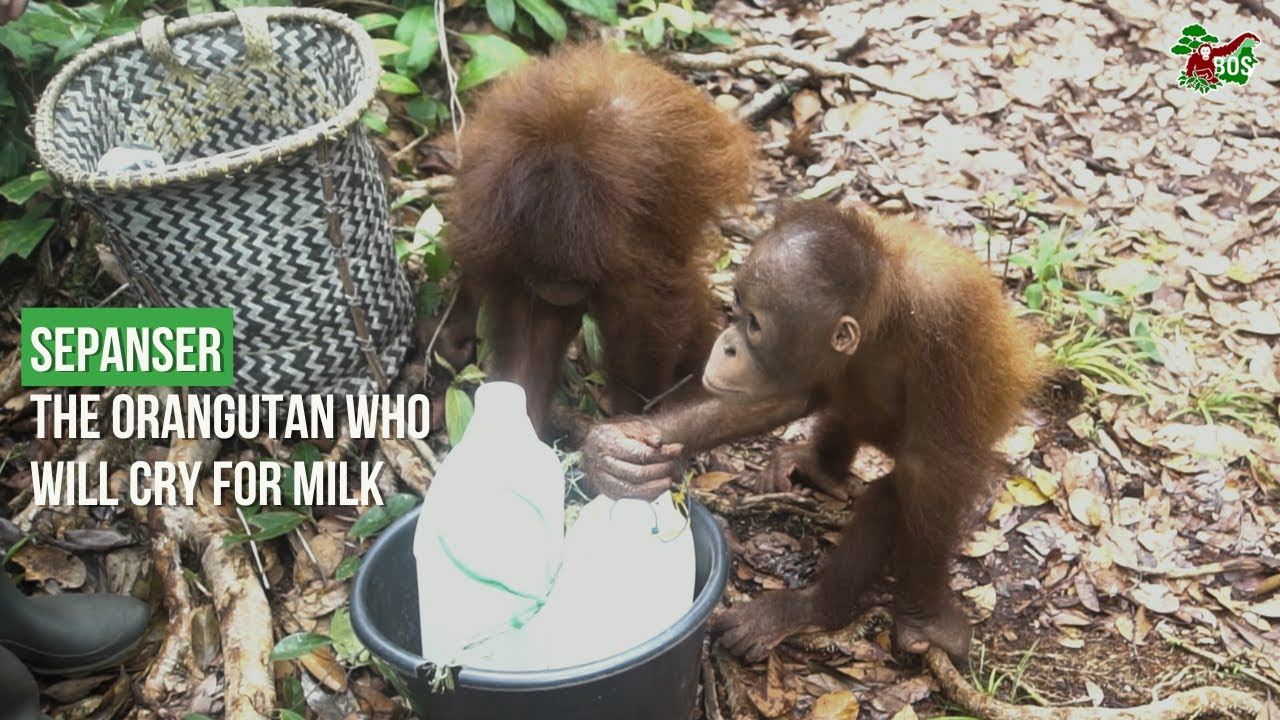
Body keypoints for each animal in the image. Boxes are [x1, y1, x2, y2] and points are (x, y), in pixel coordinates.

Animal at [445, 45, 754, 438]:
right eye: (542, 275)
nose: (560, 291)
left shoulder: (630, 257)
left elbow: (648, 326)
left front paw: (633, 419)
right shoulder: (494, 244)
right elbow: (527, 325)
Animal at [581, 201, 1043, 662]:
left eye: (754, 324)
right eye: (736, 304)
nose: (727, 344)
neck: (886, 306)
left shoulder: (945, 328)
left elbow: (928, 468)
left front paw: (925, 621)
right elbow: (787, 394)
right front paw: (617, 453)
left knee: (893, 494)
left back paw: (809, 609)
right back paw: (818, 467)